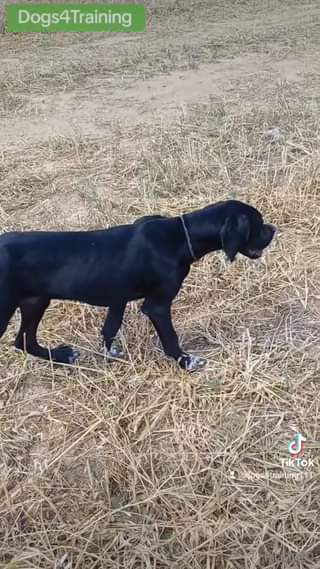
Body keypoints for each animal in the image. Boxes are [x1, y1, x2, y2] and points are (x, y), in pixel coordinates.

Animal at [0, 201, 276, 372]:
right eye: (258, 224)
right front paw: (186, 362)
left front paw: (109, 352)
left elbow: (110, 328)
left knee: (24, 341)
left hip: (35, 301)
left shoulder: (118, 296)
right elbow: (170, 339)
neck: (180, 236)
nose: (273, 229)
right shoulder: (157, 306)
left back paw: (62, 357)